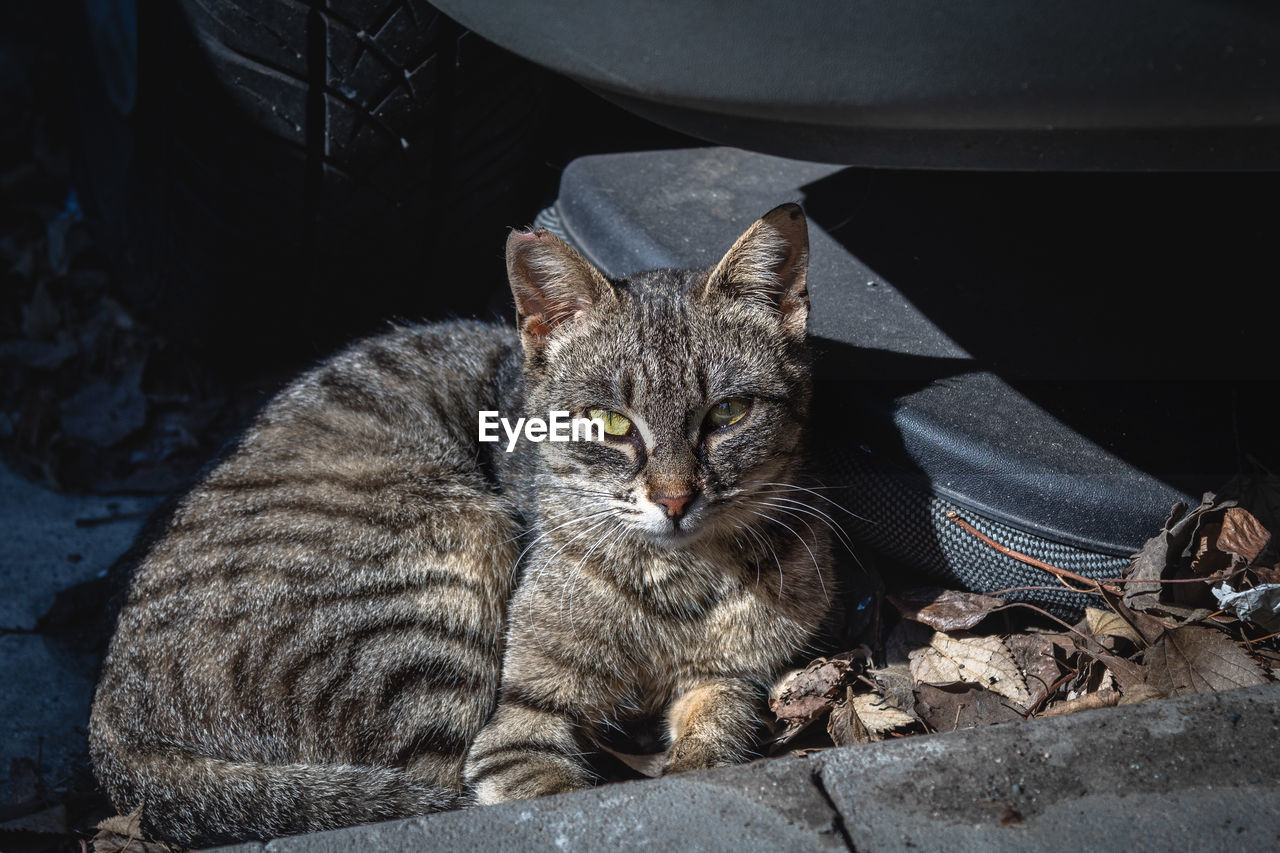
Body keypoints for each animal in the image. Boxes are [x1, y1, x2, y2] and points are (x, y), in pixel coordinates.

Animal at [87, 201, 829, 845]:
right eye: (610, 423)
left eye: (728, 413)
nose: (674, 499)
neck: (680, 584)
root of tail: (111, 716)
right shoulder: (519, 723)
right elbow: (554, 796)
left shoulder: (731, 679)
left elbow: (715, 738)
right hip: (447, 567)